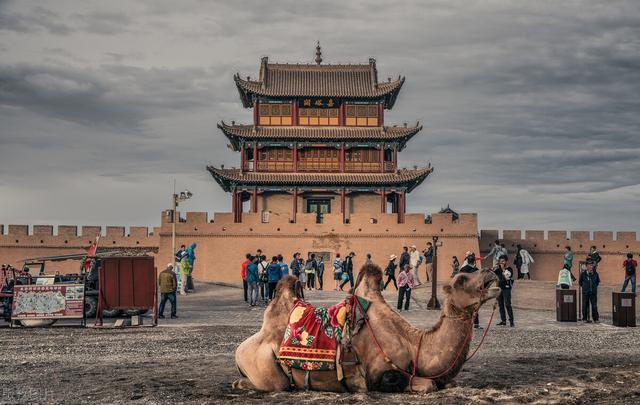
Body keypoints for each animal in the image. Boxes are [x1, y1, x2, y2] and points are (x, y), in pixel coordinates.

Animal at [235, 264, 500, 392]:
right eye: (461, 280)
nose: (490, 270)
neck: (414, 345)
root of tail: (239, 350)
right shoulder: (379, 374)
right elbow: (428, 384)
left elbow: (446, 383)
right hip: (263, 363)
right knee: (276, 384)